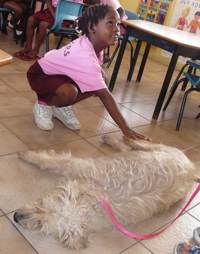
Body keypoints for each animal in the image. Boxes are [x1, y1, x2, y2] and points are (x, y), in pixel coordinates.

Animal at [13, 136, 198, 249]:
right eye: (40, 205)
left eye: (40, 224)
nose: (15, 216)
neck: (96, 199)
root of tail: (192, 169)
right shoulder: (78, 166)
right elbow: (49, 161)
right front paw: (27, 155)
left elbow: (51, 162)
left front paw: (28, 155)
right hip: (159, 149)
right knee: (135, 145)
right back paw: (117, 139)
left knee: (132, 147)